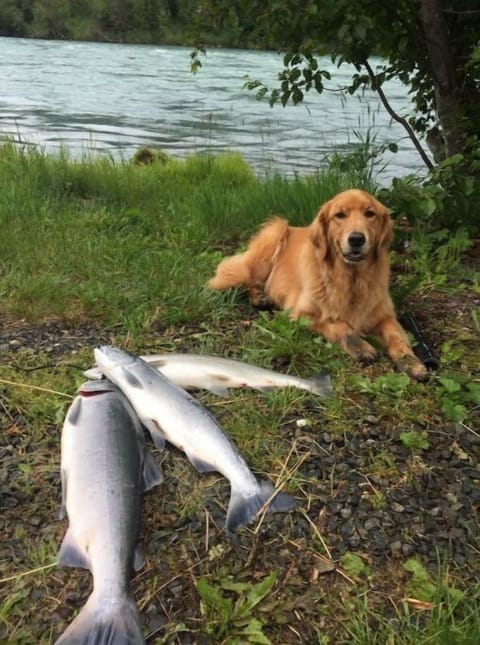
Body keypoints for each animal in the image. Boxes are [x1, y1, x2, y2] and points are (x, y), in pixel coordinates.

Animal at [208, 186, 426, 380]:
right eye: (340, 215)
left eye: (370, 213)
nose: (356, 239)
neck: (351, 280)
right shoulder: (300, 314)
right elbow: (339, 325)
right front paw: (361, 346)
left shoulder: (385, 316)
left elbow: (397, 336)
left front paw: (410, 361)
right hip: (272, 238)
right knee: (248, 280)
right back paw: (259, 297)